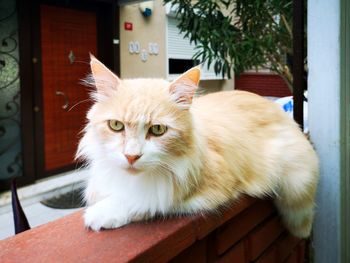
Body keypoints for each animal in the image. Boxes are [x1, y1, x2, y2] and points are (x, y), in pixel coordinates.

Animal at [76, 54, 318, 238]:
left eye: (157, 130)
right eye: (116, 126)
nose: (131, 157)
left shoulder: (203, 189)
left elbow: (148, 200)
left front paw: (104, 213)